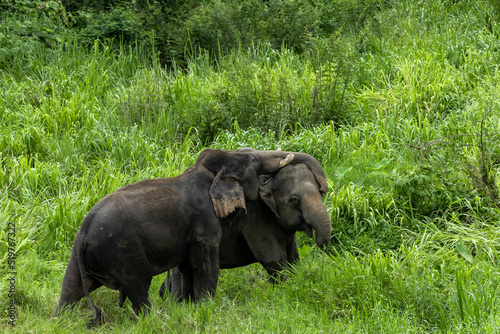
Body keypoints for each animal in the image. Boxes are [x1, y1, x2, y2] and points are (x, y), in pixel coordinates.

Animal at [161, 160, 332, 302]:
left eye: (320, 192)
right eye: (294, 200)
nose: (320, 245)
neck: (268, 180)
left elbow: (293, 257)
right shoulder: (254, 220)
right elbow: (273, 258)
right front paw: (285, 291)